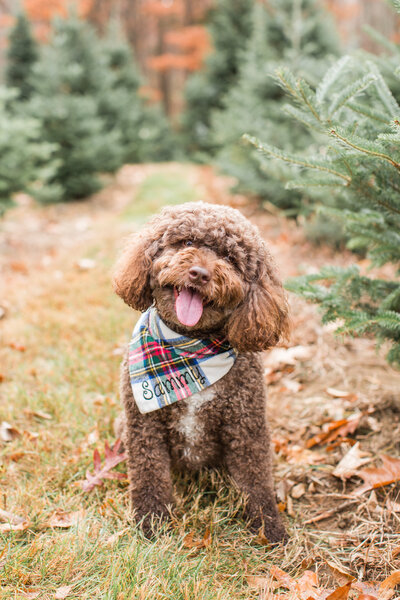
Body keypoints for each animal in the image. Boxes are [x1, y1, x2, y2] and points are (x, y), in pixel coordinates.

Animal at [112, 202, 290, 544]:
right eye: (186, 242)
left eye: (230, 258)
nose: (200, 273)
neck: (189, 347)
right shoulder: (144, 426)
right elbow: (148, 476)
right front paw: (151, 524)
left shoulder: (246, 426)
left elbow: (257, 481)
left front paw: (269, 529)